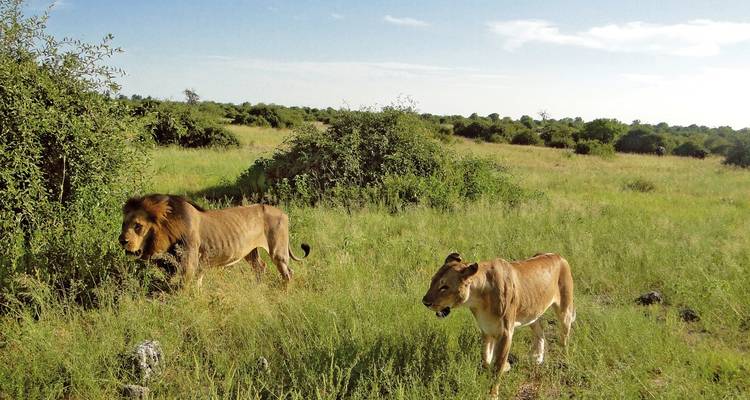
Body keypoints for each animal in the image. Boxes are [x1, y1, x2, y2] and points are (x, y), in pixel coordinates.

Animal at [118, 194, 310, 287]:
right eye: (124, 223)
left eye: (138, 226)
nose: (121, 241)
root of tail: (283, 212)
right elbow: (196, 284)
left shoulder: (189, 262)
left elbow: (184, 287)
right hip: (250, 252)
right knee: (260, 267)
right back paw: (257, 289)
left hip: (278, 251)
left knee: (288, 273)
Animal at [422, 252, 575, 398]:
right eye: (432, 281)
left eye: (444, 287)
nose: (425, 302)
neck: (478, 298)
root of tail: (558, 256)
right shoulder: (486, 330)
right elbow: (486, 360)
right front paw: (502, 369)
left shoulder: (505, 333)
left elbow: (497, 365)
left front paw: (492, 394)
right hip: (532, 312)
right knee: (540, 331)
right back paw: (538, 358)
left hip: (564, 310)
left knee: (564, 338)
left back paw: (564, 362)